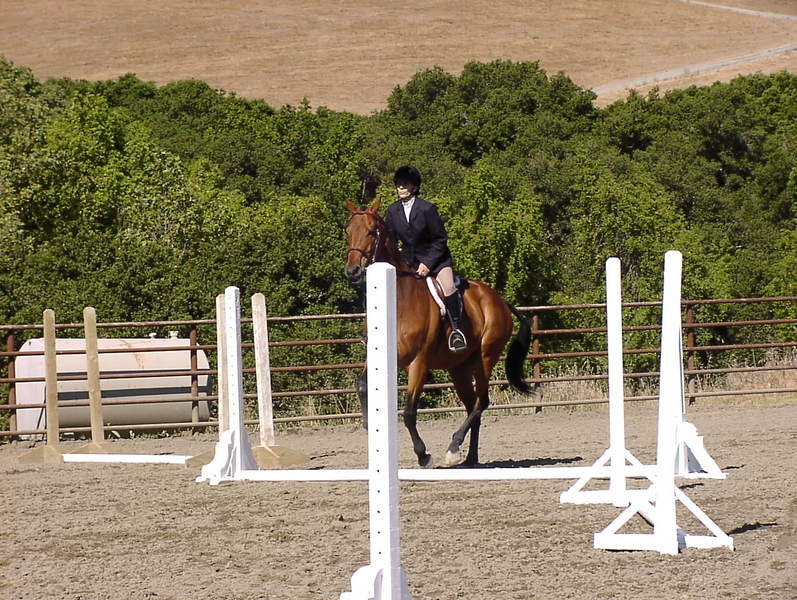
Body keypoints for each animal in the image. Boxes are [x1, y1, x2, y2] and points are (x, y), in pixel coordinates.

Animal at [344, 199, 533, 467]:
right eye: (348, 231)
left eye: (371, 232)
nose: (353, 272)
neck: (399, 300)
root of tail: (499, 300)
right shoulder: (378, 355)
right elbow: (361, 385)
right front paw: (370, 425)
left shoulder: (419, 363)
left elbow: (409, 412)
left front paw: (423, 455)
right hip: (459, 368)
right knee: (472, 405)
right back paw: (469, 458)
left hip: (485, 357)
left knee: (481, 401)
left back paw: (454, 447)